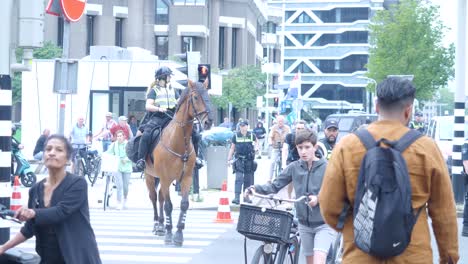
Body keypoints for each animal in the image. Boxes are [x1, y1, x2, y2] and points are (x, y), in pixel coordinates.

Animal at [144, 79, 214, 246]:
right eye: (195, 97)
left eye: (208, 95)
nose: (208, 122)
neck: (178, 141)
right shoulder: (165, 178)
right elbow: (169, 206)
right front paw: (170, 234)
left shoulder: (186, 178)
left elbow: (184, 204)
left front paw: (179, 234)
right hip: (150, 176)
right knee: (154, 198)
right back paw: (157, 225)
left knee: (160, 198)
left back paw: (161, 226)